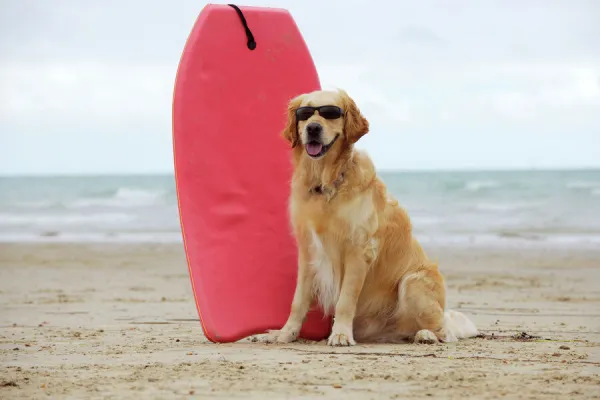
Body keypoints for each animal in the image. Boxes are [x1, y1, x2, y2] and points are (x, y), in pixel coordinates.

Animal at [262, 89, 478, 346]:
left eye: (331, 113)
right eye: (304, 114)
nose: (313, 128)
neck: (326, 182)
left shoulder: (359, 250)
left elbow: (345, 300)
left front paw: (341, 334)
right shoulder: (309, 252)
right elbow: (298, 301)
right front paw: (285, 333)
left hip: (413, 282)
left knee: (445, 331)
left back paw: (425, 335)